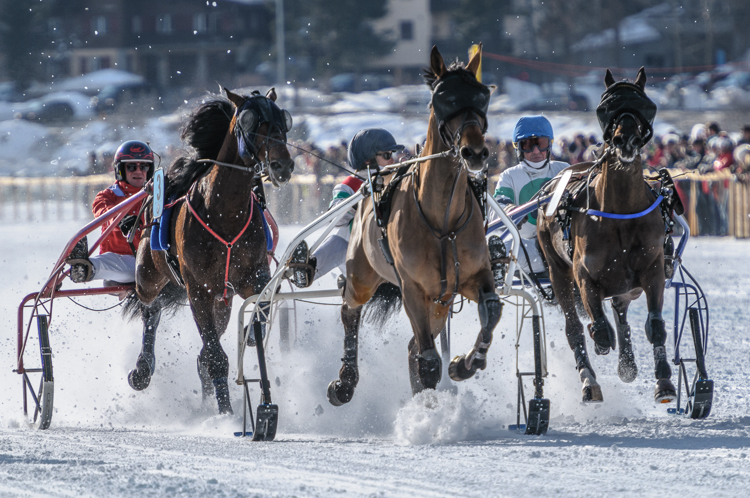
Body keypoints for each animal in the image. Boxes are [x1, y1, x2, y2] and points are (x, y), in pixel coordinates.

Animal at [128, 87, 296, 414]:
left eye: (284, 120)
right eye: (249, 120)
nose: (282, 165)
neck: (224, 213)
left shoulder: (251, 276)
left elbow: (260, 306)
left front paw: (252, 335)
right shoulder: (199, 289)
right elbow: (215, 357)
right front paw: (226, 413)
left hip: (223, 301)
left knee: (203, 349)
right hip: (148, 274)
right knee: (150, 308)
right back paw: (143, 369)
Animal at [328, 45, 506, 404]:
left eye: (482, 96)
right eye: (444, 97)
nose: (475, 152)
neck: (443, 220)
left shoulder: (471, 276)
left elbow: (492, 311)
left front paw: (465, 363)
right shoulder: (412, 287)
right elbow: (428, 360)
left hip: (441, 300)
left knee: (414, 345)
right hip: (362, 272)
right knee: (350, 309)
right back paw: (344, 382)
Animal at [540, 68, 676, 404]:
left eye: (642, 104)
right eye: (607, 106)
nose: (624, 139)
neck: (621, 210)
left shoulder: (652, 269)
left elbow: (656, 326)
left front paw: (664, 382)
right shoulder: (583, 273)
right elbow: (596, 328)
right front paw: (602, 341)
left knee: (620, 307)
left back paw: (626, 362)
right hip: (557, 271)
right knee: (574, 328)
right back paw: (589, 381)